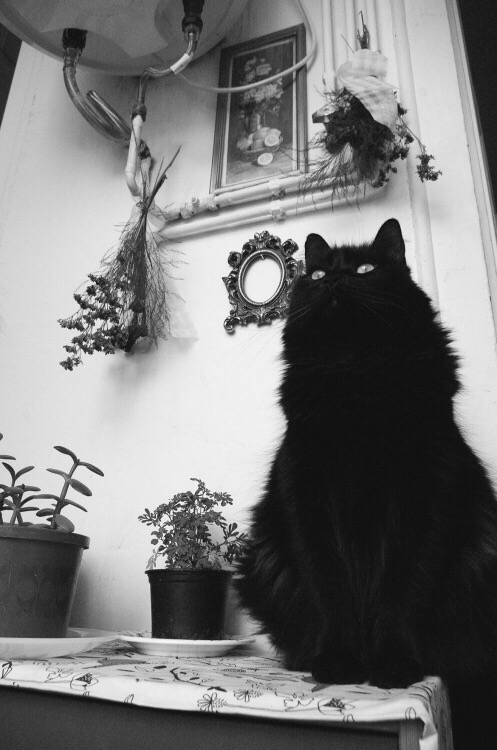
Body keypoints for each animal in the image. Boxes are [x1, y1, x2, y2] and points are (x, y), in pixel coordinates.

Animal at [236, 218, 497, 748]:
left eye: (365, 269)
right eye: (316, 274)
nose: (334, 280)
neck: (353, 370)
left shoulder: (427, 496)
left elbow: (403, 590)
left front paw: (393, 666)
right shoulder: (306, 496)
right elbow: (330, 588)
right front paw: (339, 663)